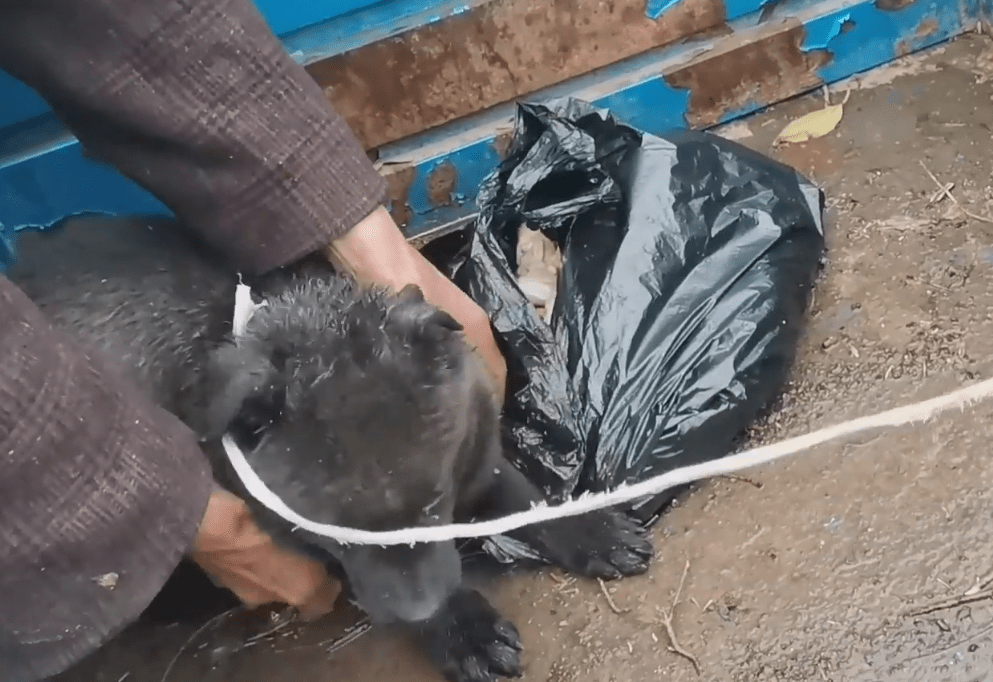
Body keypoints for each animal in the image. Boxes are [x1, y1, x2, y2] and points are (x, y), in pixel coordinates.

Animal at [11, 216, 656, 680]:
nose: (423, 611)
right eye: (334, 532)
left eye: (433, 504)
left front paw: (592, 529)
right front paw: (461, 630)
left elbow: (524, 495)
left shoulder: (476, 450)